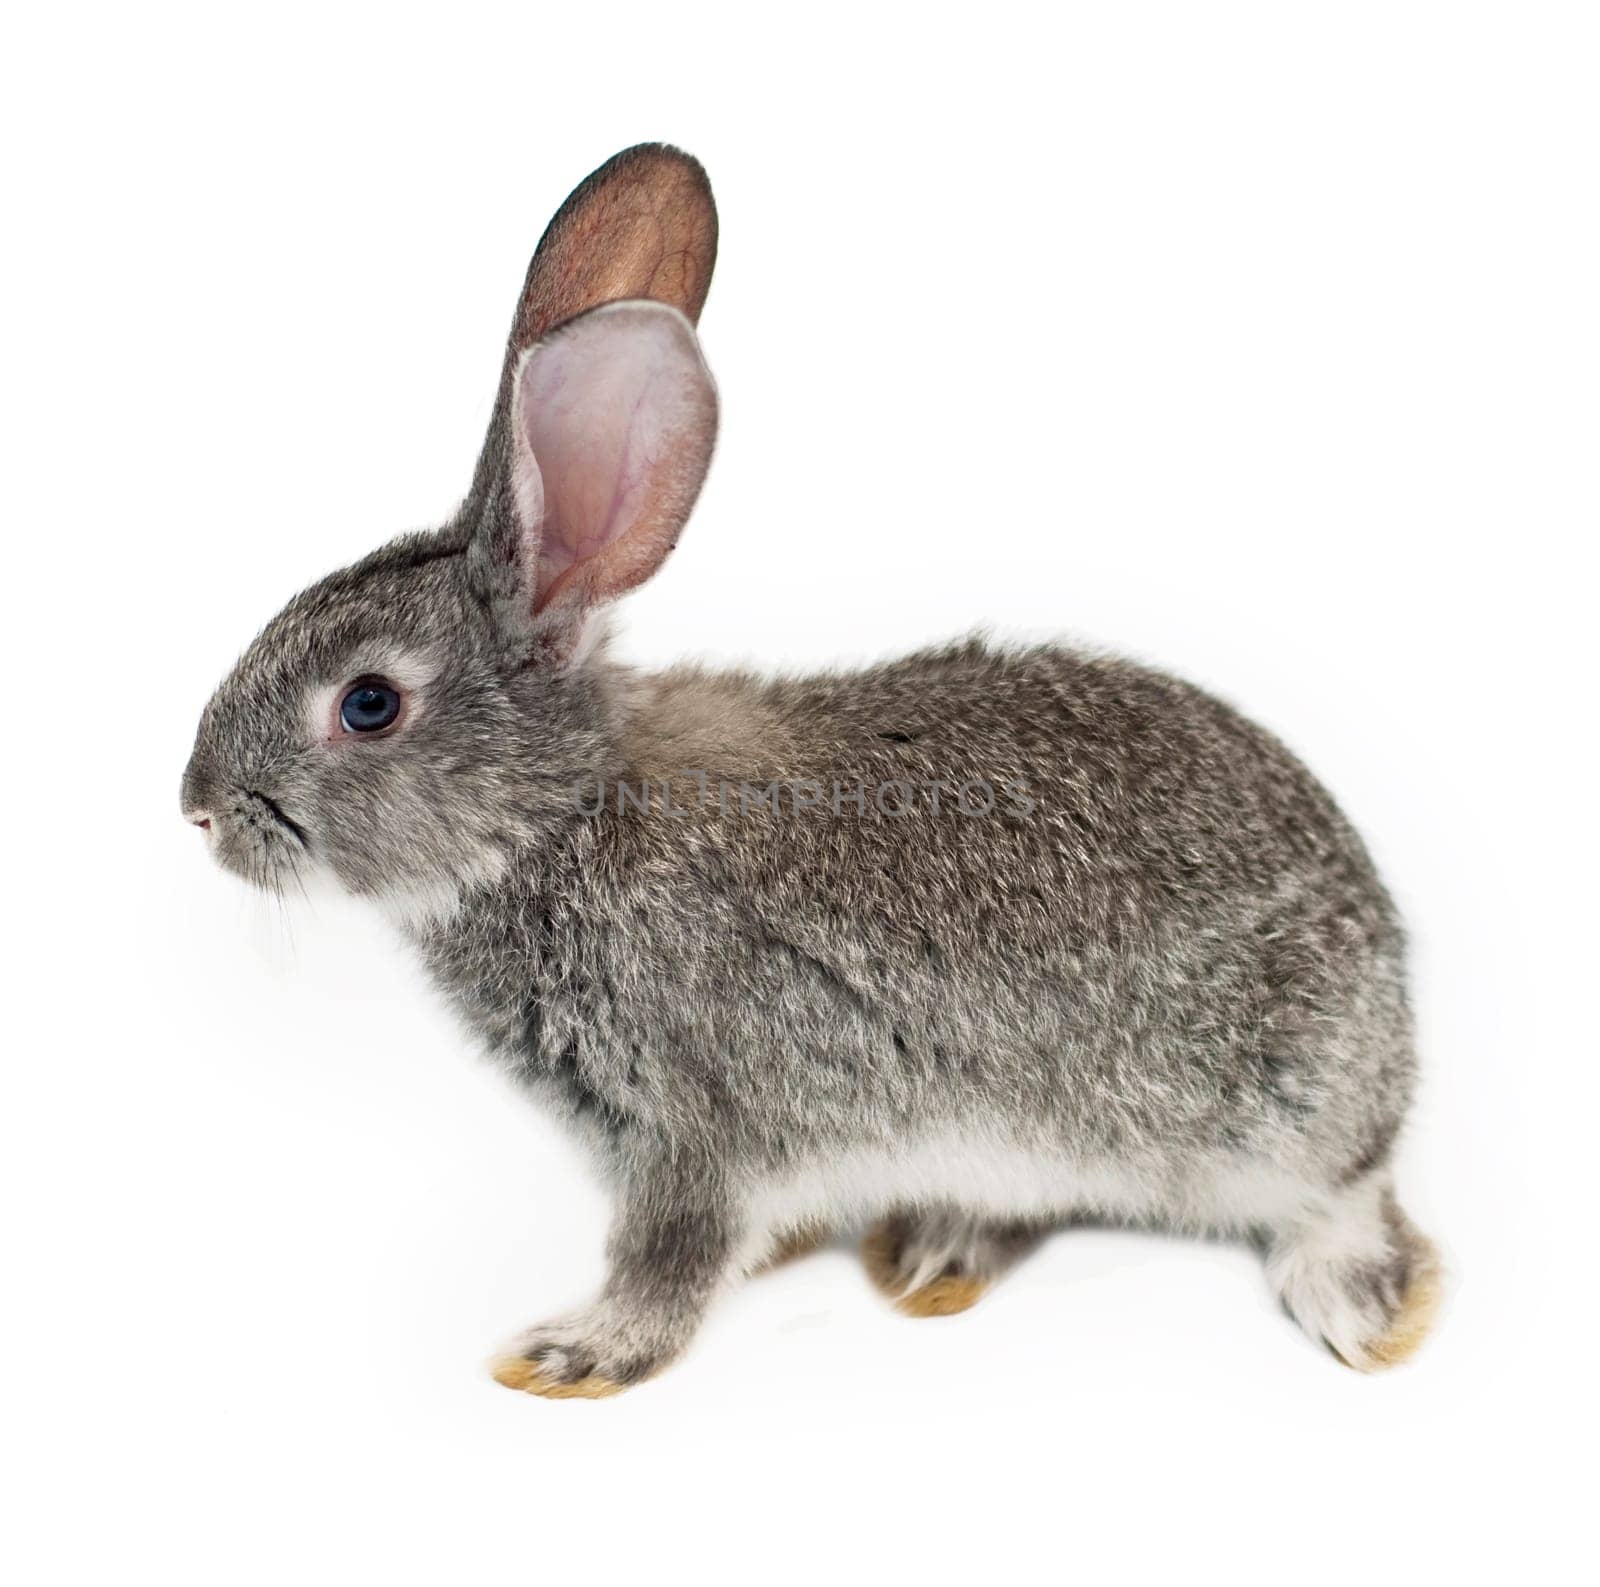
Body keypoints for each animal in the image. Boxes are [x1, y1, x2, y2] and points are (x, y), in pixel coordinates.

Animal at [184, 142, 1440, 1395]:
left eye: (368, 705)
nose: (197, 810)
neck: (560, 816)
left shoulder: (694, 1120)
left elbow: (673, 1256)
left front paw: (572, 1354)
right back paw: (934, 1252)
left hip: (1268, 1117)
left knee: (1342, 1201)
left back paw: (1359, 1308)